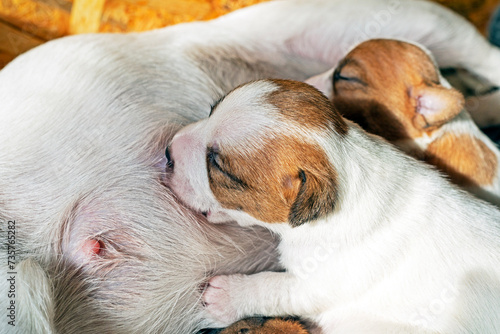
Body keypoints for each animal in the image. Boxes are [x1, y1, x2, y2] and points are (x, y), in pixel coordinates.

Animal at [167, 79, 500, 332]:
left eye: (217, 166)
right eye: (211, 110)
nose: (168, 152)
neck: (345, 162)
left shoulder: (318, 283)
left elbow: (273, 287)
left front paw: (227, 297)